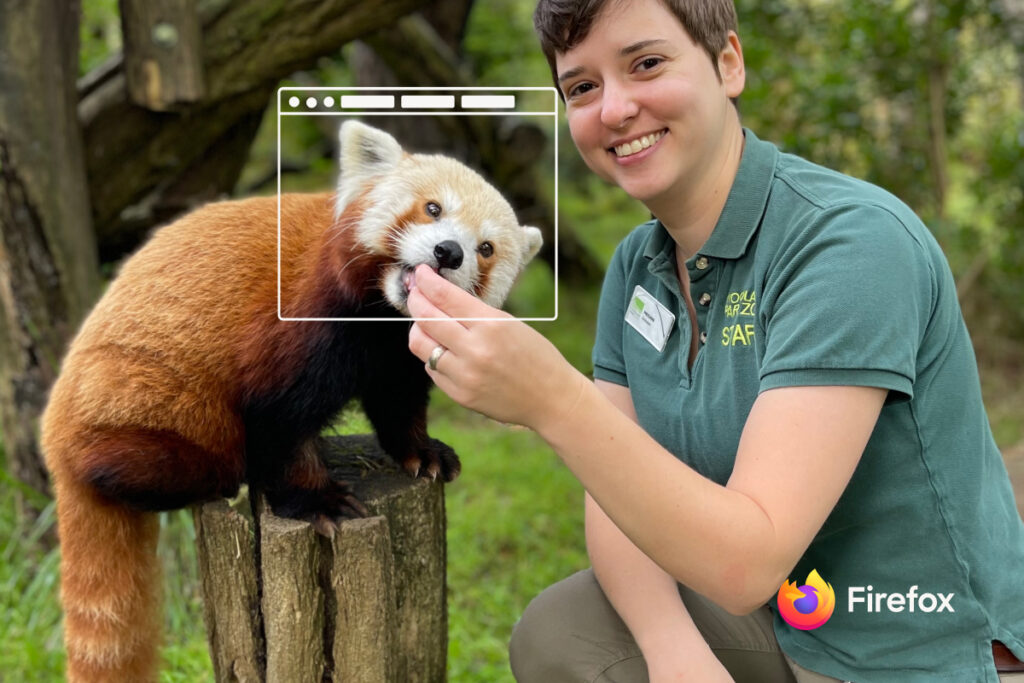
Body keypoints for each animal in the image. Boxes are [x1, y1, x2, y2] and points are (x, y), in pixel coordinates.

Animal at [39, 120, 544, 679]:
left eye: (485, 248)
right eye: (433, 209)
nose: (449, 252)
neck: (383, 313)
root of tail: (56, 437)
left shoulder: (396, 352)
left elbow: (398, 400)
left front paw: (423, 452)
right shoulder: (300, 319)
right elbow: (280, 420)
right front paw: (319, 500)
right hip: (142, 394)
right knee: (145, 459)